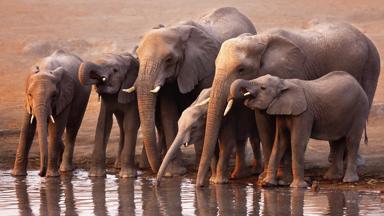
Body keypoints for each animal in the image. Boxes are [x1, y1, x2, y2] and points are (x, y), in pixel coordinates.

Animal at [12, 49, 91, 177]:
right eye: (30, 94)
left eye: (54, 95)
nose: (40, 174)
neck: (45, 69)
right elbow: (27, 129)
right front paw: (17, 176)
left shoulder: (64, 96)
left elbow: (56, 129)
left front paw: (51, 177)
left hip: (83, 98)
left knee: (72, 129)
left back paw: (65, 169)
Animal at [123, 7, 258, 176]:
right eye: (138, 58)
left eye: (169, 59)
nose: (154, 170)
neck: (175, 29)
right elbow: (168, 114)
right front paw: (174, 173)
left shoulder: (207, 67)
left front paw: (198, 168)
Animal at [228, 71, 368, 187]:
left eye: (263, 88)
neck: (284, 83)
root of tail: (359, 86)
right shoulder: (283, 111)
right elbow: (280, 142)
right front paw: (267, 184)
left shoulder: (304, 113)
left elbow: (297, 142)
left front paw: (297, 187)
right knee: (337, 141)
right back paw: (331, 177)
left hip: (359, 110)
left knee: (352, 140)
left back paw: (349, 180)